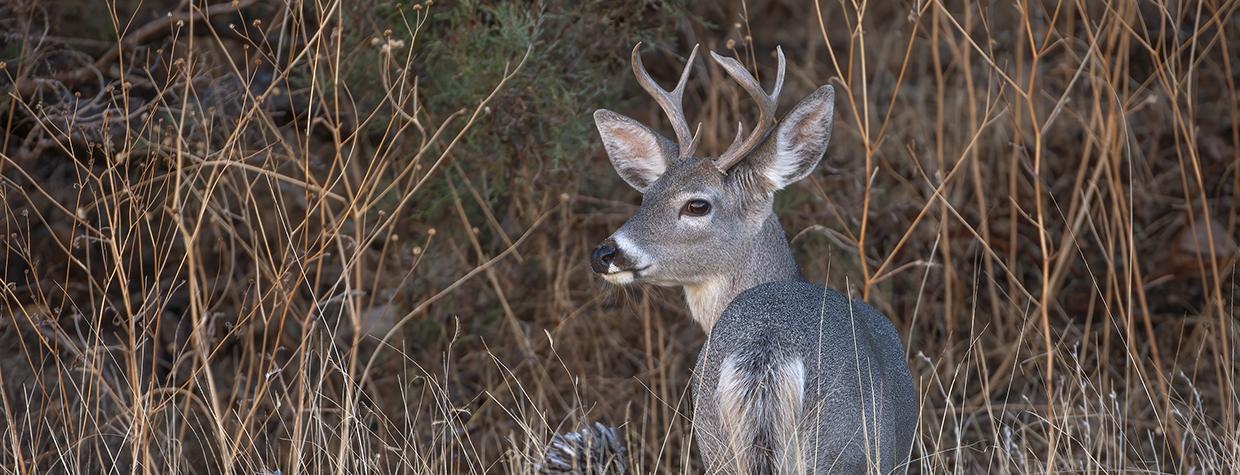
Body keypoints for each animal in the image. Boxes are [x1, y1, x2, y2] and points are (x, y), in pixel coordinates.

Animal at [586, 43, 918, 474]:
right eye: (647, 196)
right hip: (842, 447)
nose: (604, 253)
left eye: (696, 205)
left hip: (715, 438)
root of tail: (766, 346)